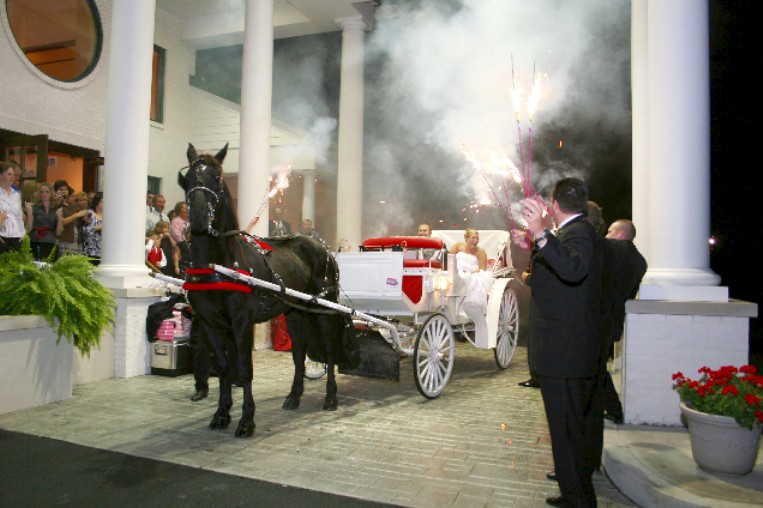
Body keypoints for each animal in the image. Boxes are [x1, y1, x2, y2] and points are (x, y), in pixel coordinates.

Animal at [180, 142, 362, 436]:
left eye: (217, 178)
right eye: (187, 179)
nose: (197, 217)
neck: (219, 264)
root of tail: (323, 247)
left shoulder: (242, 322)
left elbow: (244, 369)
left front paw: (246, 420)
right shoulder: (210, 323)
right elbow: (224, 368)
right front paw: (221, 413)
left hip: (323, 309)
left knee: (329, 350)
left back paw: (330, 398)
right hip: (295, 314)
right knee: (299, 354)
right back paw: (294, 396)